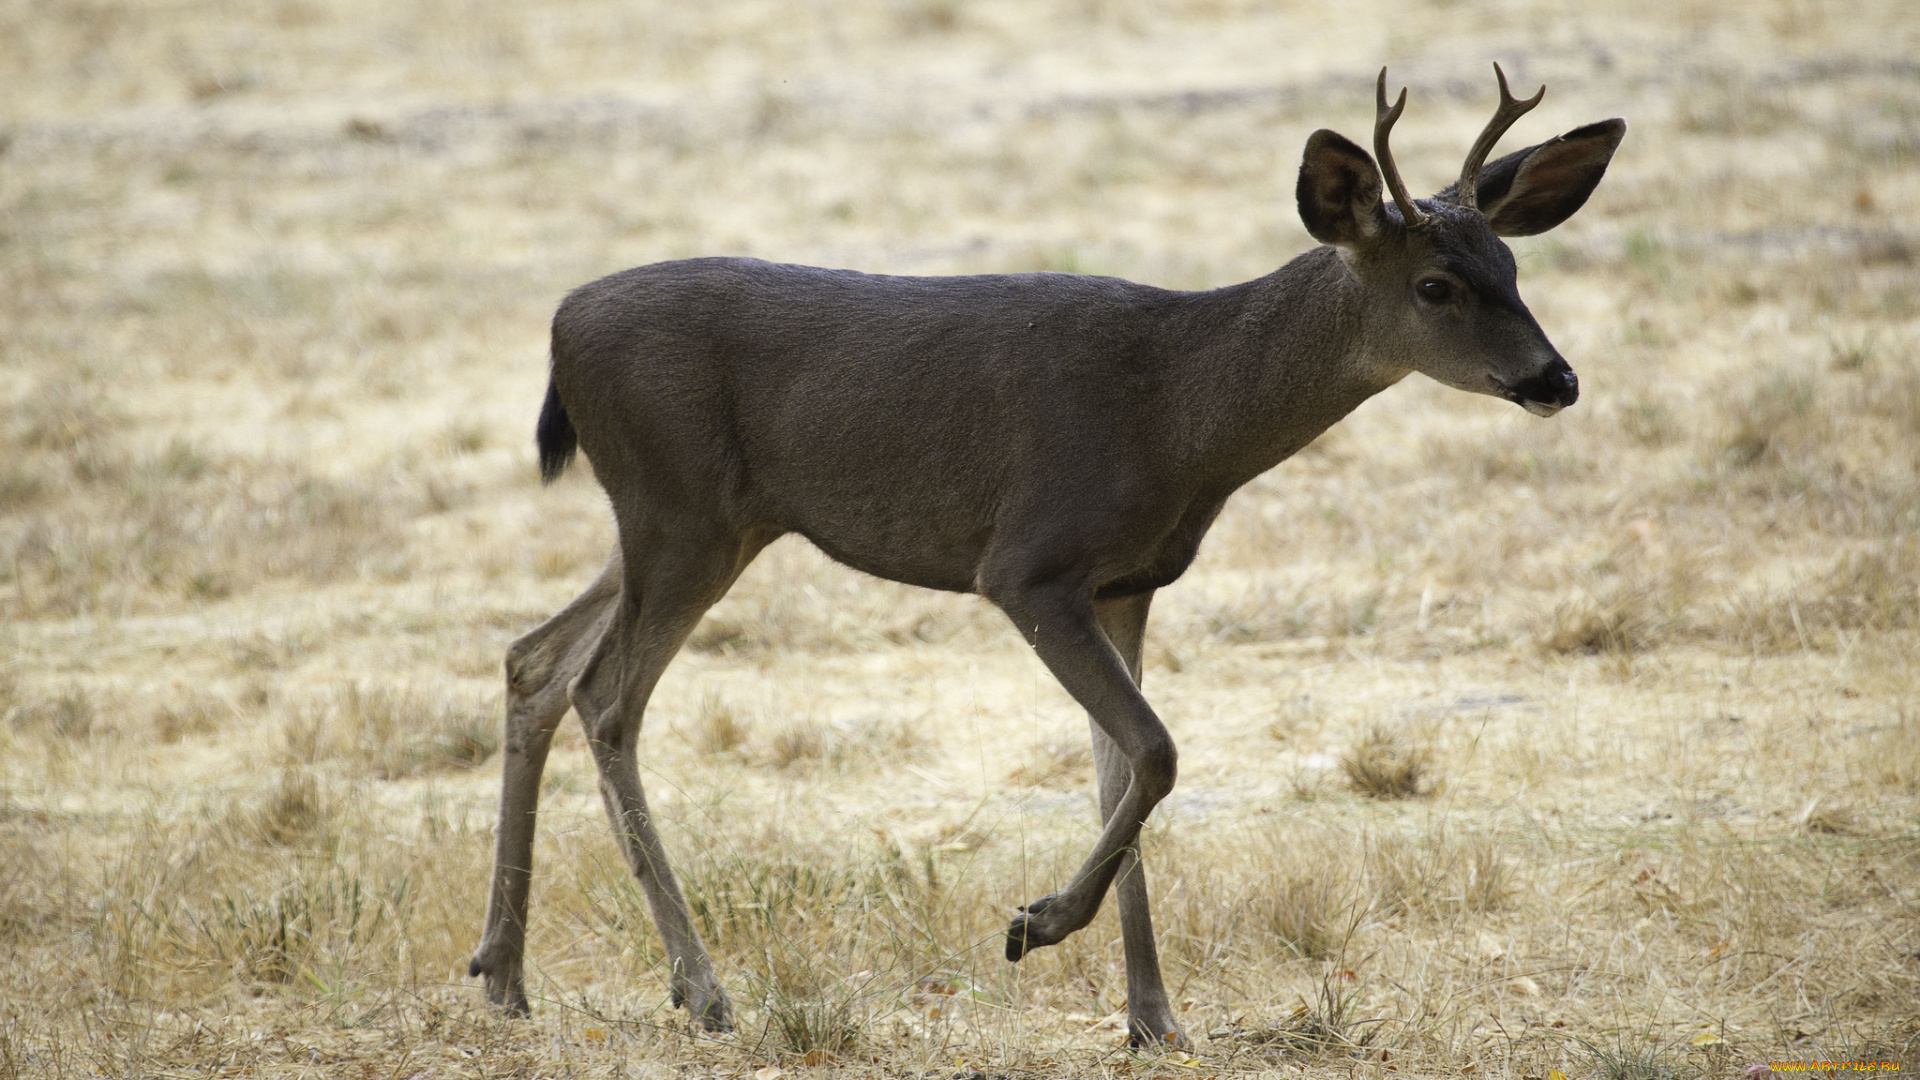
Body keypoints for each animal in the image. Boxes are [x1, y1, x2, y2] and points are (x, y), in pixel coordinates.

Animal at [464, 65, 1620, 1045]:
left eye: (1512, 266)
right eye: (1434, 286)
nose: (1556, 378)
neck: (1182, 416)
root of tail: (559, 326)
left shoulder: (1128, 583)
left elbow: (1119, 772)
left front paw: (1154, 1019)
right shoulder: (1027, 563)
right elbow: (1157, 751)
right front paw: (1037, 924)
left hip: (686, 519)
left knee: (535, 659)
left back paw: (504, 976)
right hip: (682, 509)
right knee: (607, 697)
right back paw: (700, 990)